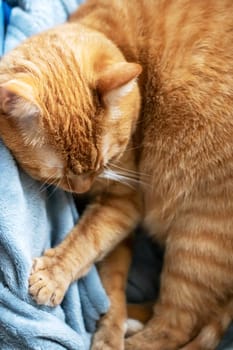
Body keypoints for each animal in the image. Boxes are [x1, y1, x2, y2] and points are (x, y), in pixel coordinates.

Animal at [0, 0, 233, 348]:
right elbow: (111, 282)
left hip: (197, 243)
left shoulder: (124, 200)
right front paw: (110, 325)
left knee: (176, 328)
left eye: (104, 162)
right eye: (58, 175)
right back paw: (130, 319)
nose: (83, 190)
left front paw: (53, 277)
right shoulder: (118, 221)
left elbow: (87, 238)